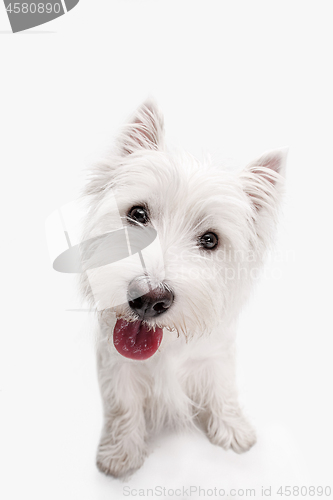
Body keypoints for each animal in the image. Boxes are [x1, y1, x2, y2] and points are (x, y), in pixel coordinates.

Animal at [80, 100, 286, 476]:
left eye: (210, 240)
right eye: (138, 213)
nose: (149, 299)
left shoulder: (217, 354)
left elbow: (222, 388)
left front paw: (233, 430)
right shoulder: (115, 363)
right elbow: (123, 403)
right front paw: (120, 453)